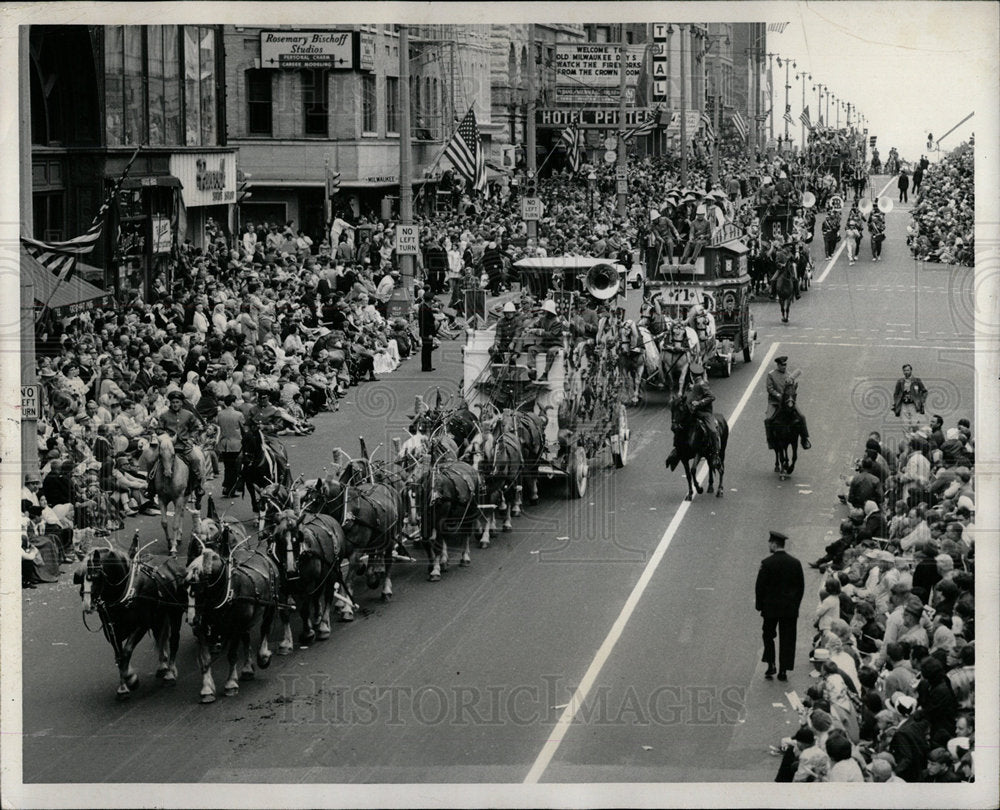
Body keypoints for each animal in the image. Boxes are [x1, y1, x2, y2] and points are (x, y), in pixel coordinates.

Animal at [76, 532, 186, 696]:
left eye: (95, 576)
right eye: (79, 576)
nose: (87, 605)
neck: (125, 593)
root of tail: (171, 562)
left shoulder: (141, 625)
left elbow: (126, 652)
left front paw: (131, 679)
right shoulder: (111, 630)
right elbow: (119, 656)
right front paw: (123, 687)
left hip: (175, 612)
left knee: (173, 639)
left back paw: (170, 672)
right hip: (158, 616)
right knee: (160, 637)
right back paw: (163, 666)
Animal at [185, 524, 280, 700]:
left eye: (201, 591)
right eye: (184, 590)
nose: (192, 620)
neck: (227, 591)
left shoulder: (235, 627)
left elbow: (232, 654)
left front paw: (230, 684)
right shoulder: (203, 629)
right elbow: (205, 659)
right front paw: (207, 689)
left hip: (270, 605)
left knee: (265, 628)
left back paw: (263, 656)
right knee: (247, 637)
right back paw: (248, 668)